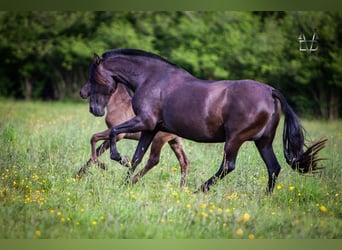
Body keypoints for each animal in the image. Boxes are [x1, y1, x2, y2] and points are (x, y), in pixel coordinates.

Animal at [85, 48, 326, 193]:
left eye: (94, 77)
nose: (93, 109)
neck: (151, 79)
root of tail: (270, 91)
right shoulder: (150, 128)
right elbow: (137, 157)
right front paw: (125, 182)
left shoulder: (144, 122)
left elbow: (114, 133)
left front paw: (116, 160)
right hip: (263, 141)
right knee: (273, 168)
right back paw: (265, 198)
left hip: (235, 139)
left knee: (228, 166)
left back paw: (198, 191)